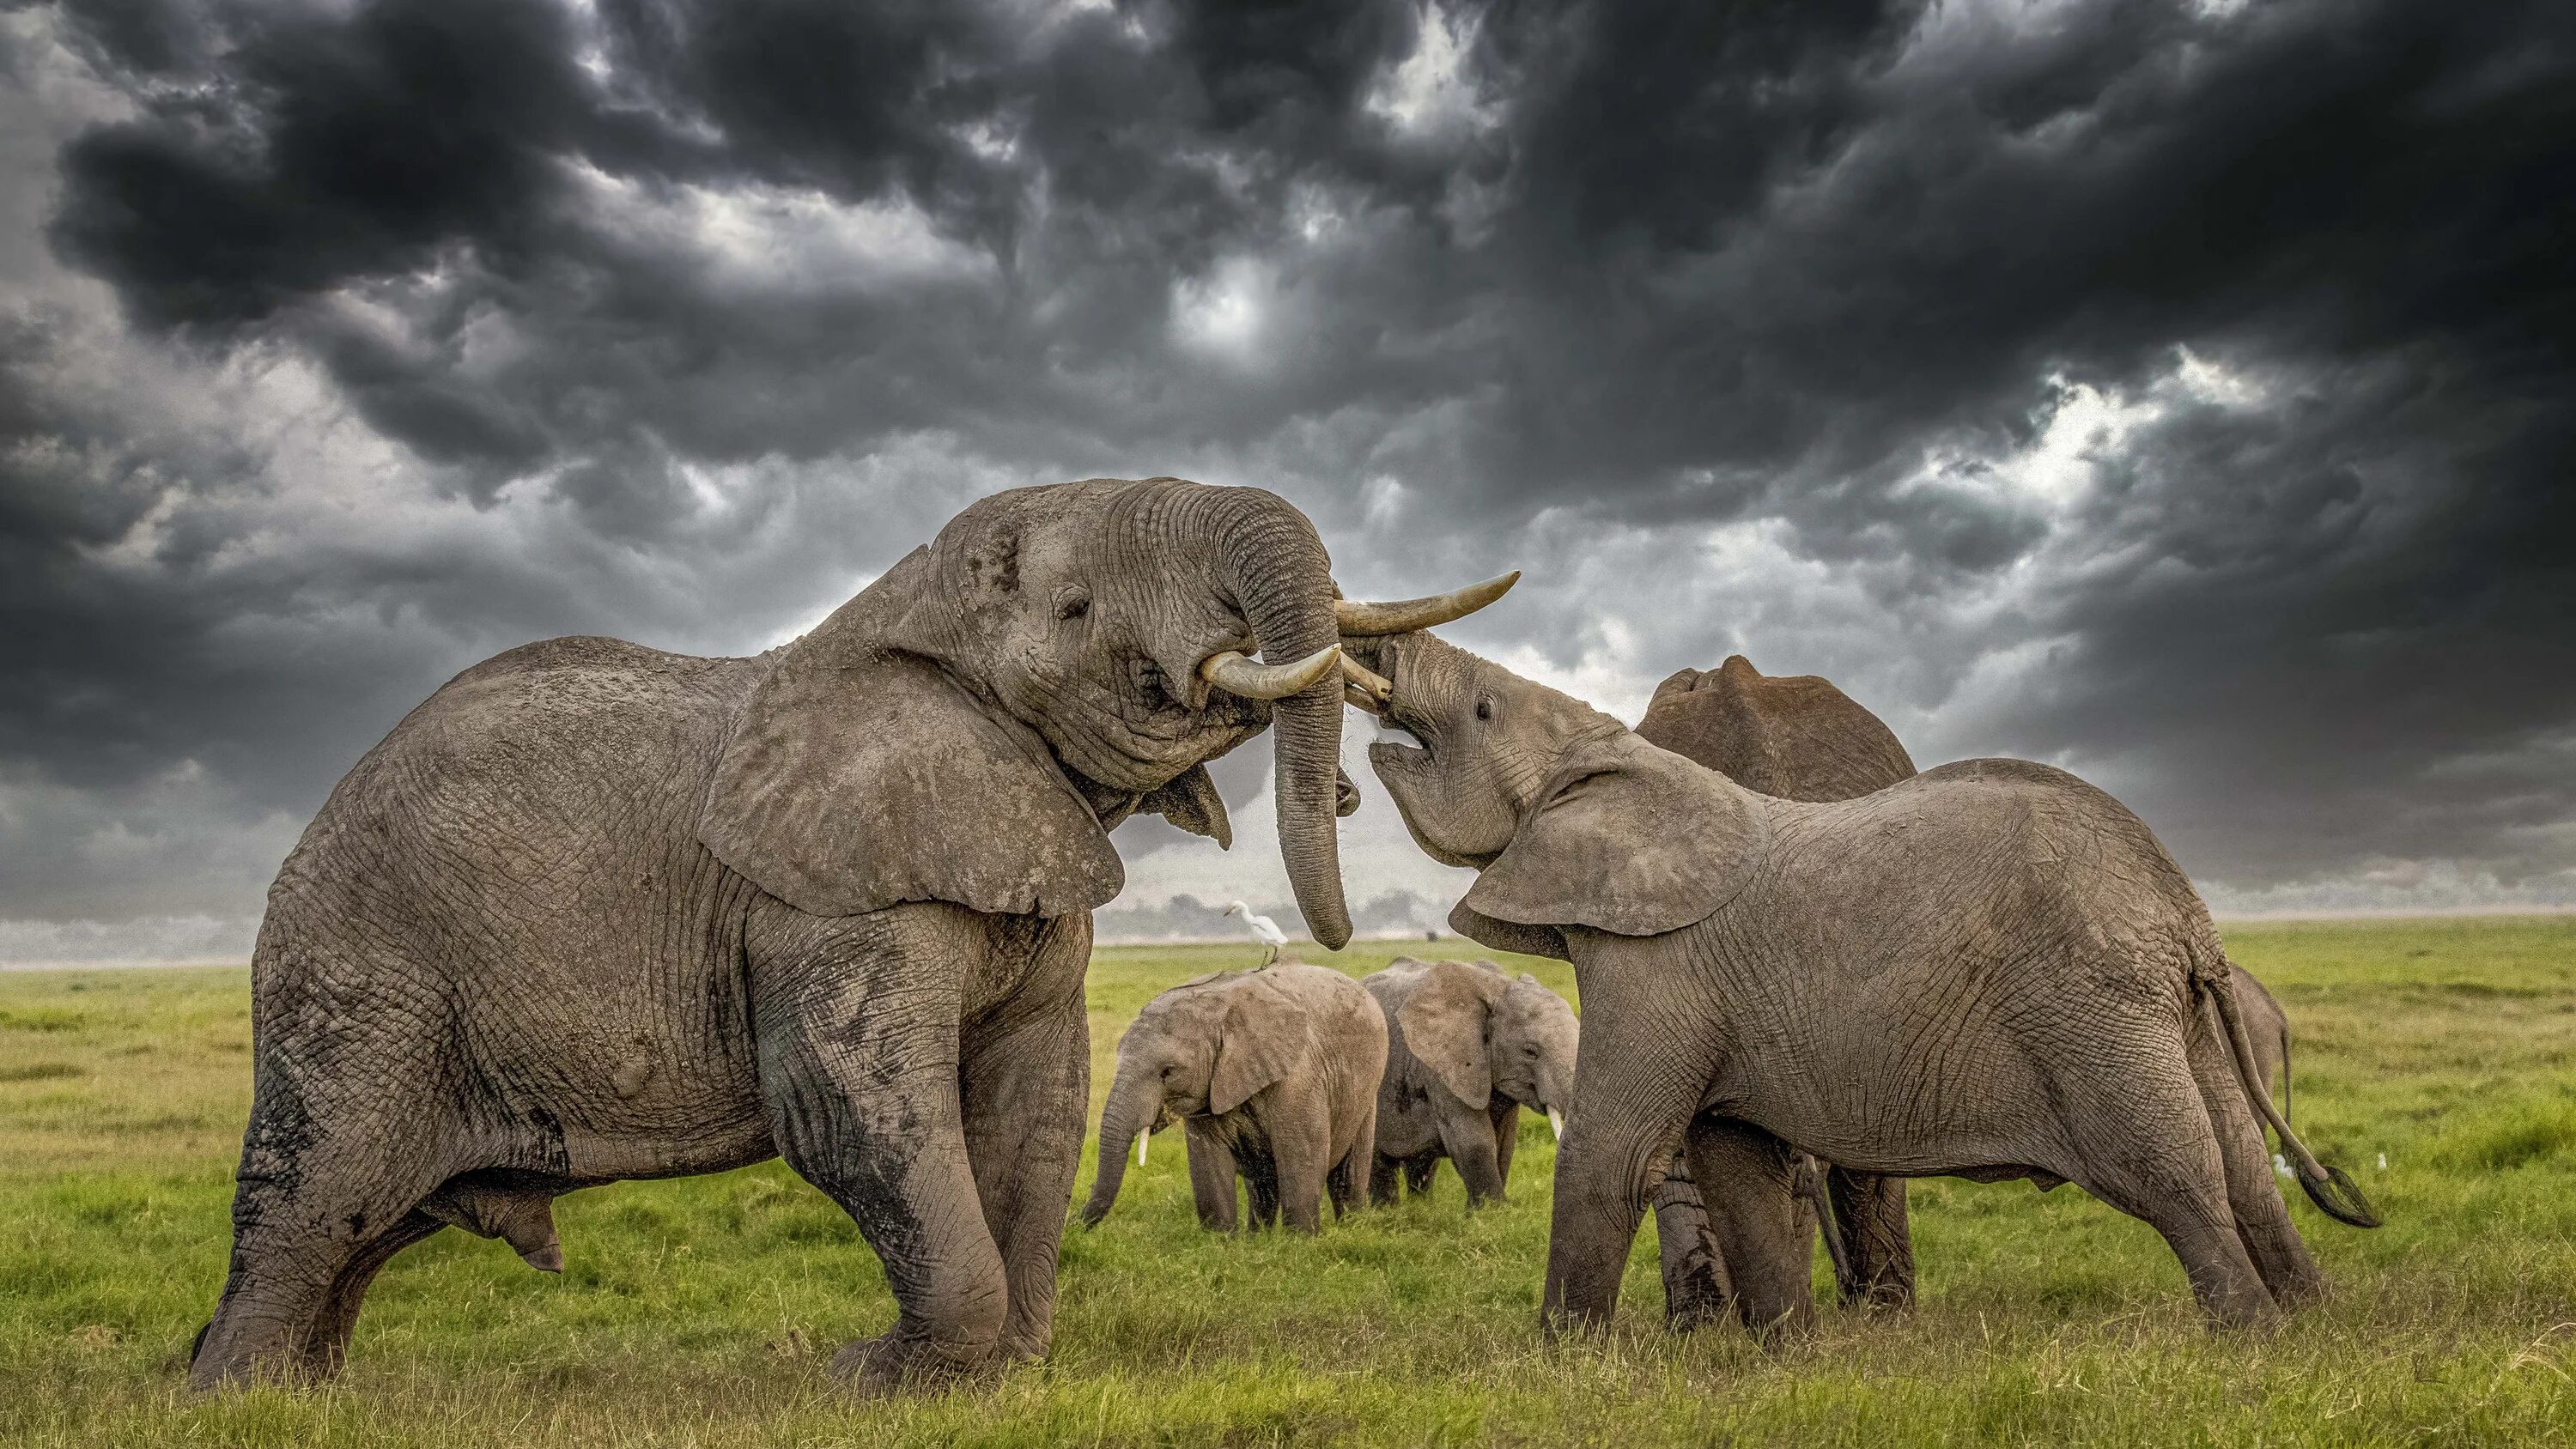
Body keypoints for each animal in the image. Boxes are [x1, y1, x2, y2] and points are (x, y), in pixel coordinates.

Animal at [1077, 962, 1391, 1235]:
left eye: (1168, 1071)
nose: (1075, 1226)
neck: (1220, 1014)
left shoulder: (1299, 1078)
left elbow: (1300, 1154)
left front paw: (1300, 1241)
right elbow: (1208, 1162)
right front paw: (1221, 1241)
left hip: (1368, 1089)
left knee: (1349, 1172)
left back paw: (1351, 1229)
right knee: (1262, 1185)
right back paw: (1259, 1236)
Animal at [1360, 957, 1577, 1210]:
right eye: (1530, 1052)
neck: (1498, 986)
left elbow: (1505, 1140)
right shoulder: (1441, 1065)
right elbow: (1473, 1137)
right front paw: (1491, 1211)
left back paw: (1422, 1209)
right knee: (1378, 1161)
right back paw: (1387, 1212)